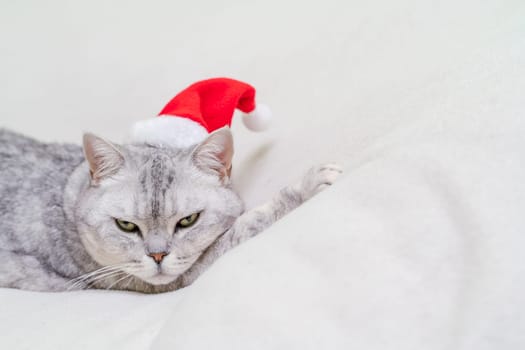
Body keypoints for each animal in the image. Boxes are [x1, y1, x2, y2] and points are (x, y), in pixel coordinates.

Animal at [0, 129, 340, 292]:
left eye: (188, 221)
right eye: (126, 225)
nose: (158, 256)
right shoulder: (175, 276)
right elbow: (250, 224)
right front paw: (310, 185)